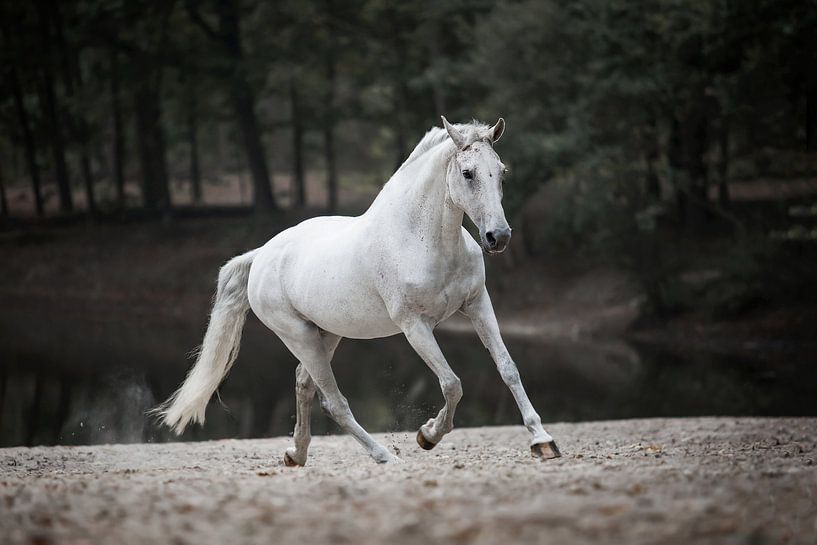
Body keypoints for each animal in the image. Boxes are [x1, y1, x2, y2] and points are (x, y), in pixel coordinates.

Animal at [153, 116, 561, 465]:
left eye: (501, 172)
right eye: (467, 173)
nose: (498, 237)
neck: (422, 239)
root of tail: (262, 255)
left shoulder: (477, 305)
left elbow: (508, 368)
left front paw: (542, 441)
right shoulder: (415, 326)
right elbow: (452, 384)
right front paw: (427, 435)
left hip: (327, 333)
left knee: (304, 384)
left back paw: (297, 454)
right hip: (299, 335)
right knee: (334, 401)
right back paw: (383, 456)